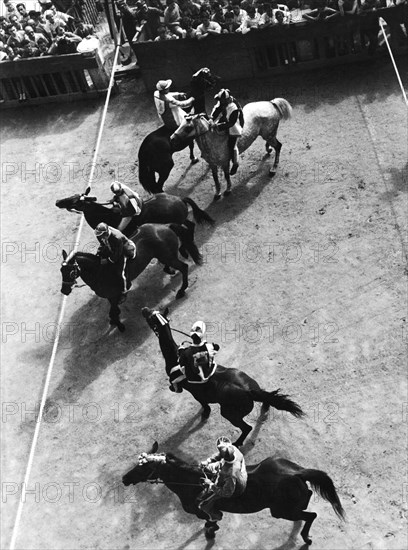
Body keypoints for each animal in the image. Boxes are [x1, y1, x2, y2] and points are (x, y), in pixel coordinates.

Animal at [55, 189, 215, 238]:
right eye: (73, 195)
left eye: (75, 201)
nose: (57, 202)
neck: (108, 217)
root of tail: (180, 198)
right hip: (181, 219)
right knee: (191, 225)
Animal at [59, 224, 202, 332]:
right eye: (61, 271)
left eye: (70, 272)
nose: (64, 291)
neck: (99, 272)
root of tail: (166, 226)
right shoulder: (110, 298)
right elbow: (113, 311)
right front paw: (115, 320)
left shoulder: (114, 296)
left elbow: (113, 312)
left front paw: (119, 325)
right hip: (163, 256)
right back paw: (170, 271)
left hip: (168, 256)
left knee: (184, 267)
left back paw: (181, 291)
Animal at [122, 444, 344, 548]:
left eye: (142, 467)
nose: (124, 479)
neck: (192, 482)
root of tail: (296, 473)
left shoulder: (201, 510)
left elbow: (209, 521)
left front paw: (212, 532)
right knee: (307, 504)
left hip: (280, 511)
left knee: (311, 516)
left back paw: (306, 538)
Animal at [140, 308, 302, 446]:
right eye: (152, 312)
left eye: (150, 317)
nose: (144, 309)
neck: (175, 356)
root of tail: (248, 390)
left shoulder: (192, 391)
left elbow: (203, 404)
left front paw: (204, 414)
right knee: (267, 397)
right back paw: (265, 406)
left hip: (229, 414)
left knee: (247, 428)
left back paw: (237, 443)